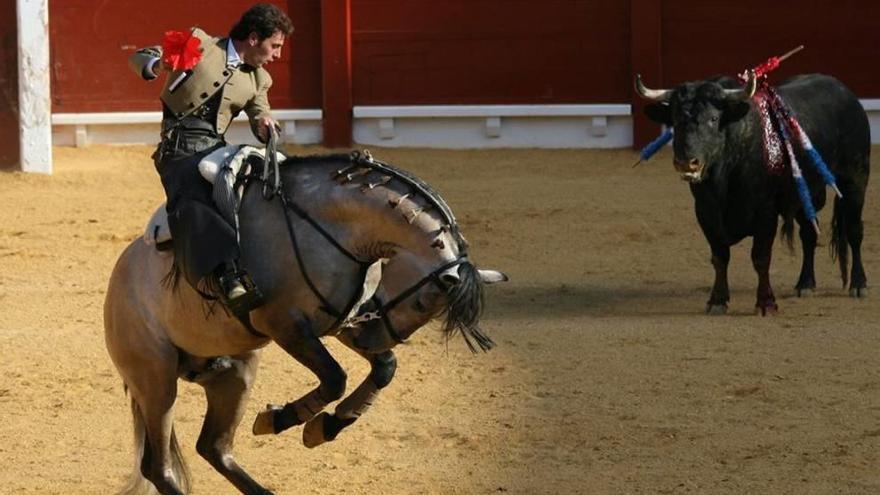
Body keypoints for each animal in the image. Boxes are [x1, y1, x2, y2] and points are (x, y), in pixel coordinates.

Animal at [101, 152, 508, 495]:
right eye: (424, 302)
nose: (373, 338)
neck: (331, 227)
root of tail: (117, 285)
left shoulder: (341, 321)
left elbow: (384, 369)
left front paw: (324, 426)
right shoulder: (286, 325)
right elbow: (334, 377)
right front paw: (284, 419)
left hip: (234, 375)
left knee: (214, 448)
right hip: (156, 381)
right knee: (159, 467)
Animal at [636, 70, 868, 314]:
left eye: (713, 119)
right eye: (675, 120)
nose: (686, 163)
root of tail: (846, 93)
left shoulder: (765, 212)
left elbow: (760, 257)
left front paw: (766, 303)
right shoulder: (705, 212)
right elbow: (719, 257)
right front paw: (717, 300)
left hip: (856, 179)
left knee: (854, 230)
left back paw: (858, 284)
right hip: (807, 194)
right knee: (808, 233)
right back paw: (805, 284)